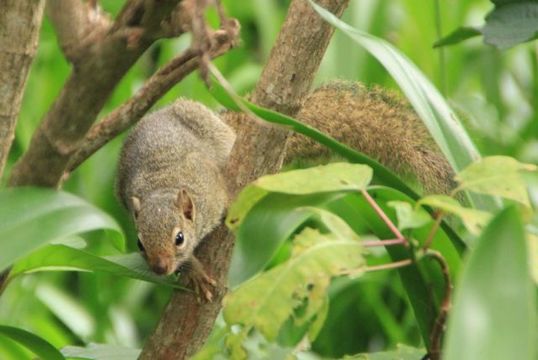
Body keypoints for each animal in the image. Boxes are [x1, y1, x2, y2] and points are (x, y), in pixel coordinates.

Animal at [116, 80, 452, 300]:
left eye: (179, 238)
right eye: (140, 243)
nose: (160, 268)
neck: (163, 183)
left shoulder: (212, 193)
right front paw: (193, 272)